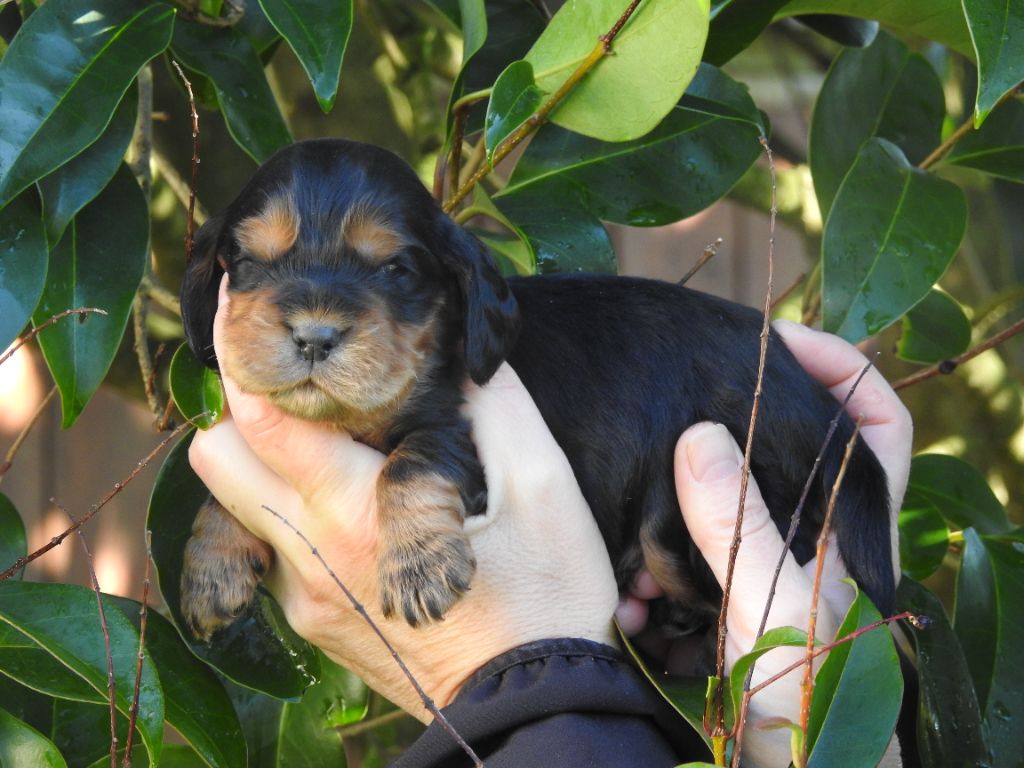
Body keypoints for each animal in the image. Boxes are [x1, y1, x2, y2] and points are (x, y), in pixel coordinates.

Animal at [178, 140, 897, 643]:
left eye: (396, 269)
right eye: (248, 264)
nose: (313, 337)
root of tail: (824, 411)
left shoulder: (456, 435)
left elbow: (410, 463)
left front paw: (417, 568)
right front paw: (211, 567)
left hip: (692, 508)